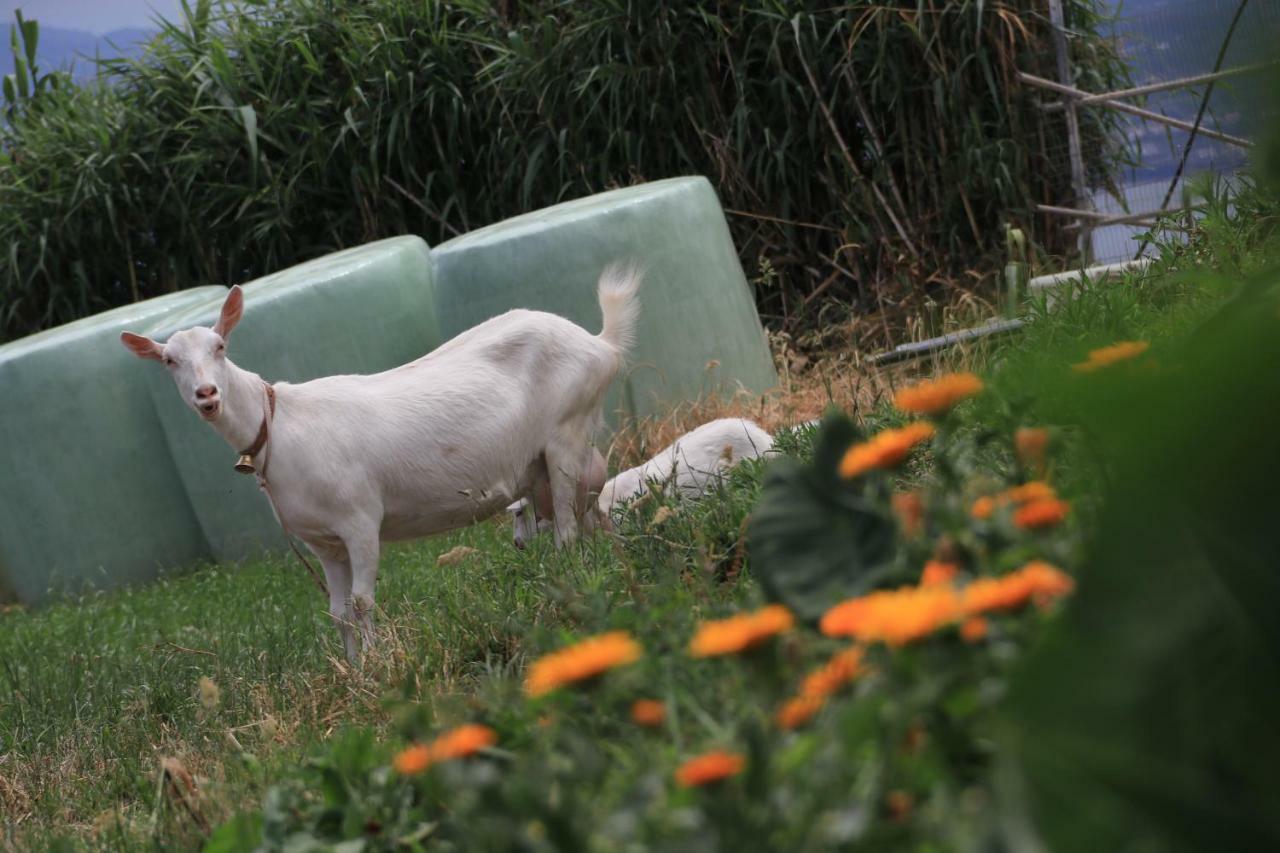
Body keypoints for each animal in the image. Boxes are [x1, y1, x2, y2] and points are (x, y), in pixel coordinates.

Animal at [120, 266, 640, 655]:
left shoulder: (360, 520)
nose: (207, 395)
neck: (278, 423)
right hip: (544, 466)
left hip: (566, 433)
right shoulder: (322, 542)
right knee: (583, 516)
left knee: (569, 530)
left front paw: (377, 665)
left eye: (221, 347)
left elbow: (362, 602)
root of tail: (601, 343)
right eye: (168, 361)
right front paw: (351, 671)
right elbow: (337, 612)